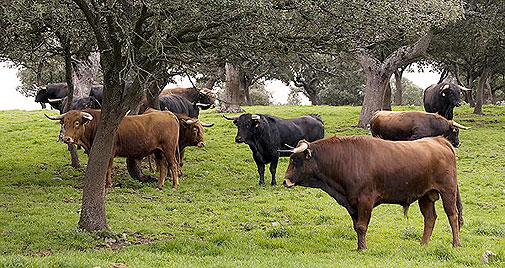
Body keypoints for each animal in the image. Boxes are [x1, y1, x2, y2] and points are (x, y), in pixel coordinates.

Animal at [44, 108, 179, 188]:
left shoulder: (110, 152)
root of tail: (169, 114)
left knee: (173, 164)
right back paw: (159, 185)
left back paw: (174, 184)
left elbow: (108, 169)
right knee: (163, 166)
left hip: (169, 148)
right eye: (64, 123)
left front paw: (108, 183)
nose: (66, 139)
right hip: (158, 151)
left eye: (76, 123)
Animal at [282, 136, 462, 251]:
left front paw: (362, 248)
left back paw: (456, 244)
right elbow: (357, 227)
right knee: (430, 217)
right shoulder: (352, 204)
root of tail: (439, 140)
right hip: (425, 195)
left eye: (295, 160)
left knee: (452, 215)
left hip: (448, 191)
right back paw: (423, 244)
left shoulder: (365, 201)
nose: (285, 181)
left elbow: (362, 227)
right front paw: (359, 246)